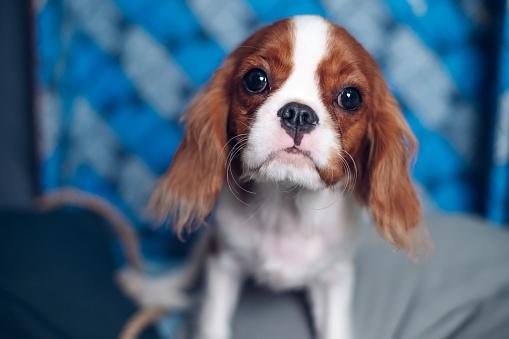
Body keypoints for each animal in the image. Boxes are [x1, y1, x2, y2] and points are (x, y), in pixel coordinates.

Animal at [124, 14, 424, 339]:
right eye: (256, 79)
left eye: (350, 97)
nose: (298, 114)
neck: (288, 206)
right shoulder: (223, 261)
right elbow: (212, 322)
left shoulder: (336, 275)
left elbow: (335, 326)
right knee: (189, 268)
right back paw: (153, 286)